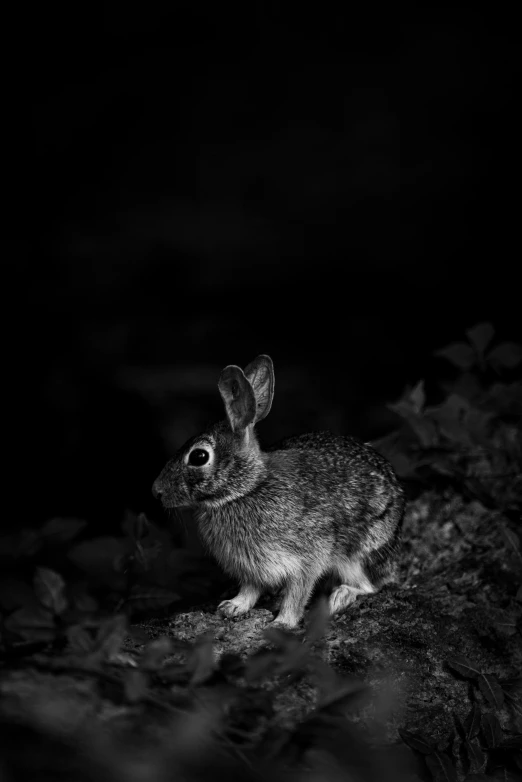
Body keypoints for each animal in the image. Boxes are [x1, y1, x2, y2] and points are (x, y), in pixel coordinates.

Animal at [150, 356, 402, 632]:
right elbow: (250, 589)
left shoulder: (309, 556)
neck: (245, 490)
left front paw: (281, 623)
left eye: (198, 456)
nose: (156, 491)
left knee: (368, 586)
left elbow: (298, 592)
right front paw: (233, 607)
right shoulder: (251, 567)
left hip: (357, 553)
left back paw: (339, 597)